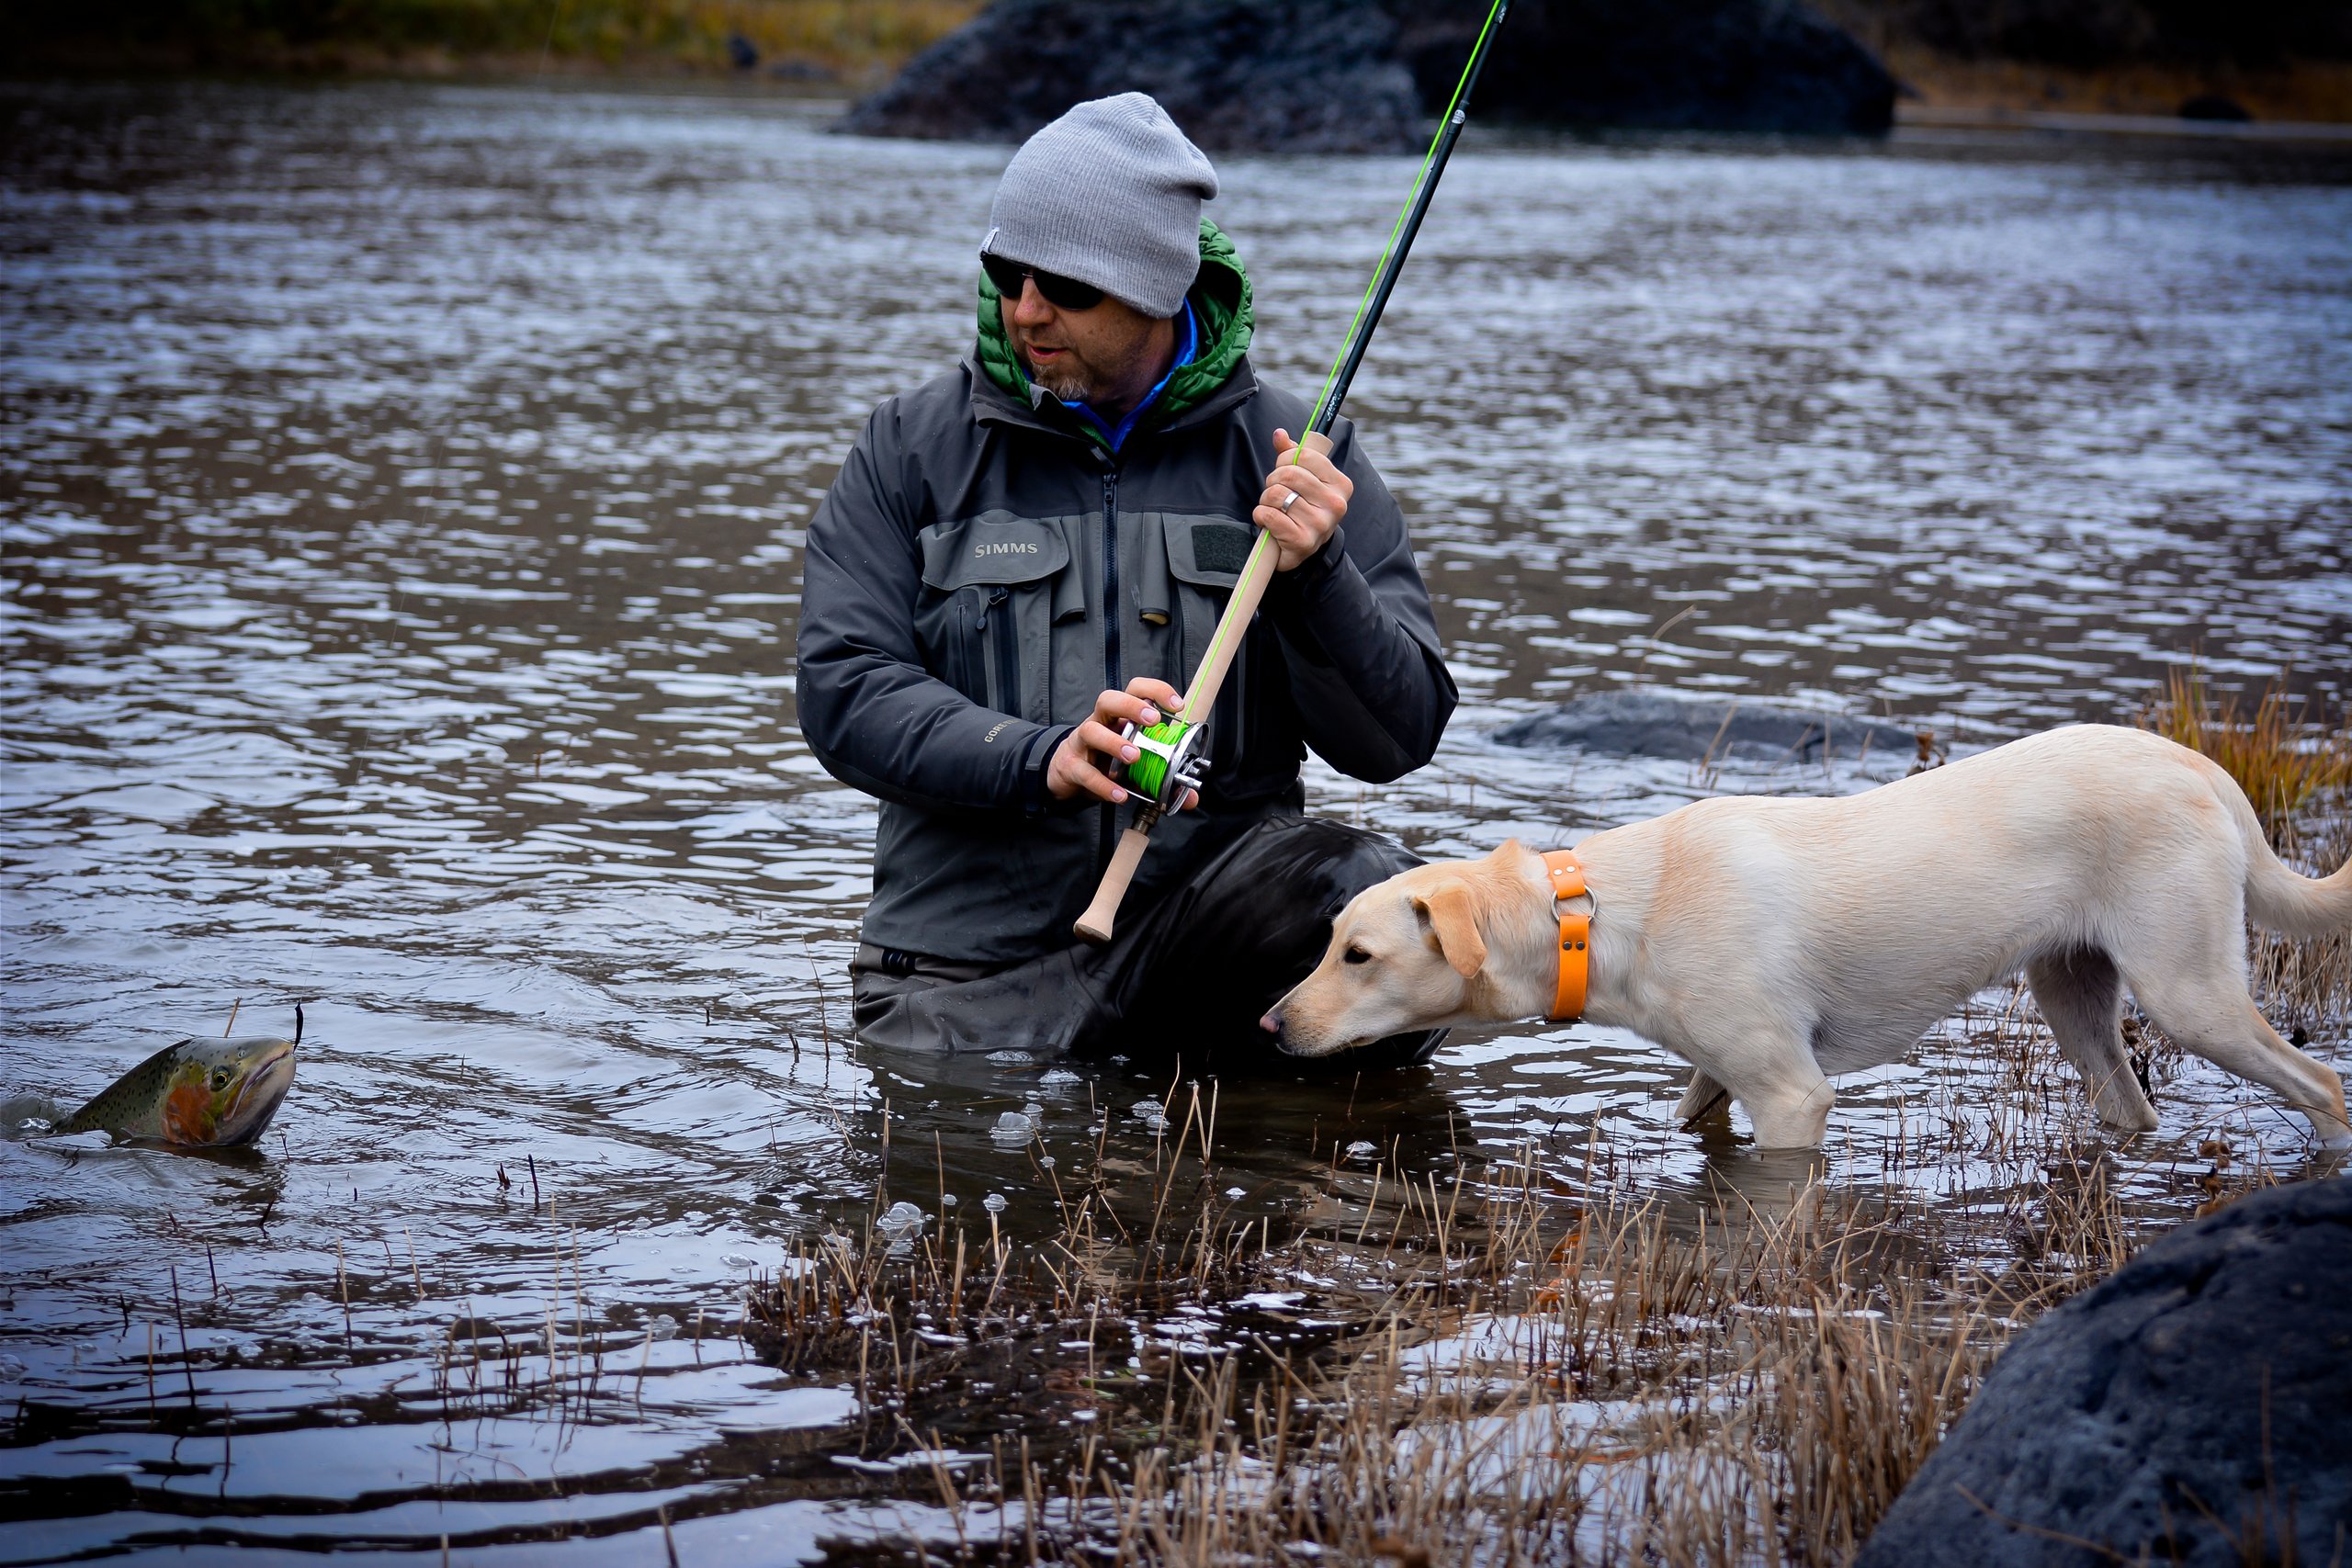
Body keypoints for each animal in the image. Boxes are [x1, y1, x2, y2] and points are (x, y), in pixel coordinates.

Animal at [1270, 728, 2352, 1152]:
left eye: (1357, 956)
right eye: (1328, 943)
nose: (1270, 1026)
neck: (1599, 914)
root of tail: (2196, 766)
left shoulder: (1793, 1095)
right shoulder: (1715, 1074)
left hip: (2190, 993)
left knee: (2322, 1083)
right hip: (2074, 999)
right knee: (2130, 1109)